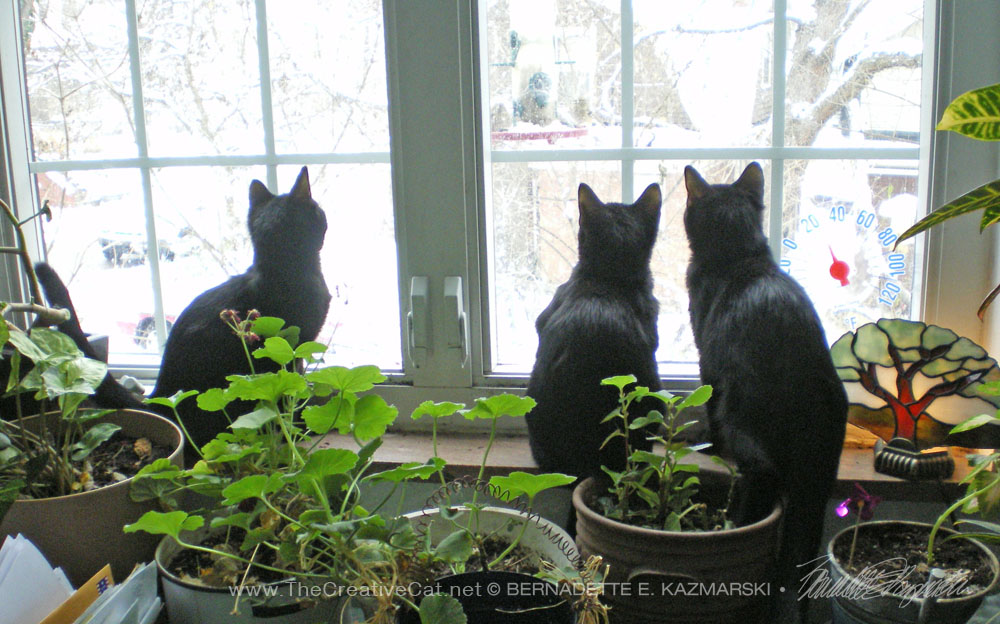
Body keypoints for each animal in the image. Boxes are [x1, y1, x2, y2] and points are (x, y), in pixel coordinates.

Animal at [151, 166, 332, 448]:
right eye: (320, 212)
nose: (327, 219)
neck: (283, 270)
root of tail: (158, 394)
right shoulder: (293, 349)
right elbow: (294, 389)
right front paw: (299, 427)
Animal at [684, 161, 848, 620]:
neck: (740, 255)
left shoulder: (707, 361)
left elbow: (706, 400)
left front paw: (706, 442)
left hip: (740, 414)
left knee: (763, 473)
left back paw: (735, 524)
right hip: (821, 476)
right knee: (804, 547)